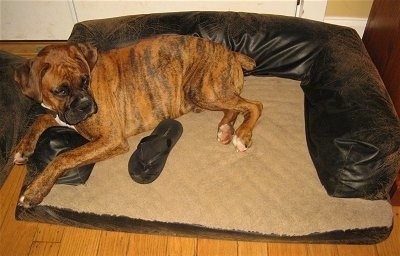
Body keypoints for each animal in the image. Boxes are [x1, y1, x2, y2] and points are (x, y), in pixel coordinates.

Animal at [13, 34, 262, 207]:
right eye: (60, 91)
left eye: (85, 80)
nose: (86, 105)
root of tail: (229, 51)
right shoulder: (63, 117)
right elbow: (41, 119)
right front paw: (22, 148)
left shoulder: (111, 139)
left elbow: (64, 157)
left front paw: (34, 191)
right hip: (209, 93)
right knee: (234, 107)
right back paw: (226, 129)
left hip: (202, 90)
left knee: (253, 106)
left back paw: (241, 135)